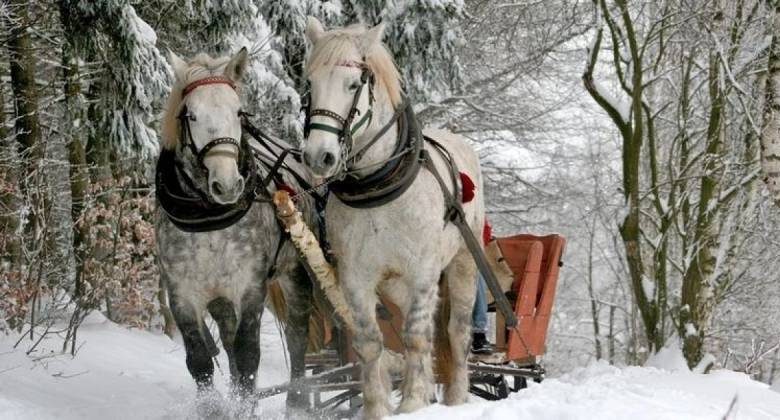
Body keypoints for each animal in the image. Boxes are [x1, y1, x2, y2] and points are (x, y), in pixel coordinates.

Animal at [302, 17, 484, 420]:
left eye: (354, 84)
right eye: (310, 84)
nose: (319, 157)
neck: (378, 187)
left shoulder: (423, 271)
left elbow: (416, 337)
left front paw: (414, 402)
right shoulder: (356, 277)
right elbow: (371, 342)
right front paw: (377, 407)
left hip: (463, 262)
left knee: (456, 331)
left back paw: (455, 396)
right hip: (395, 284)